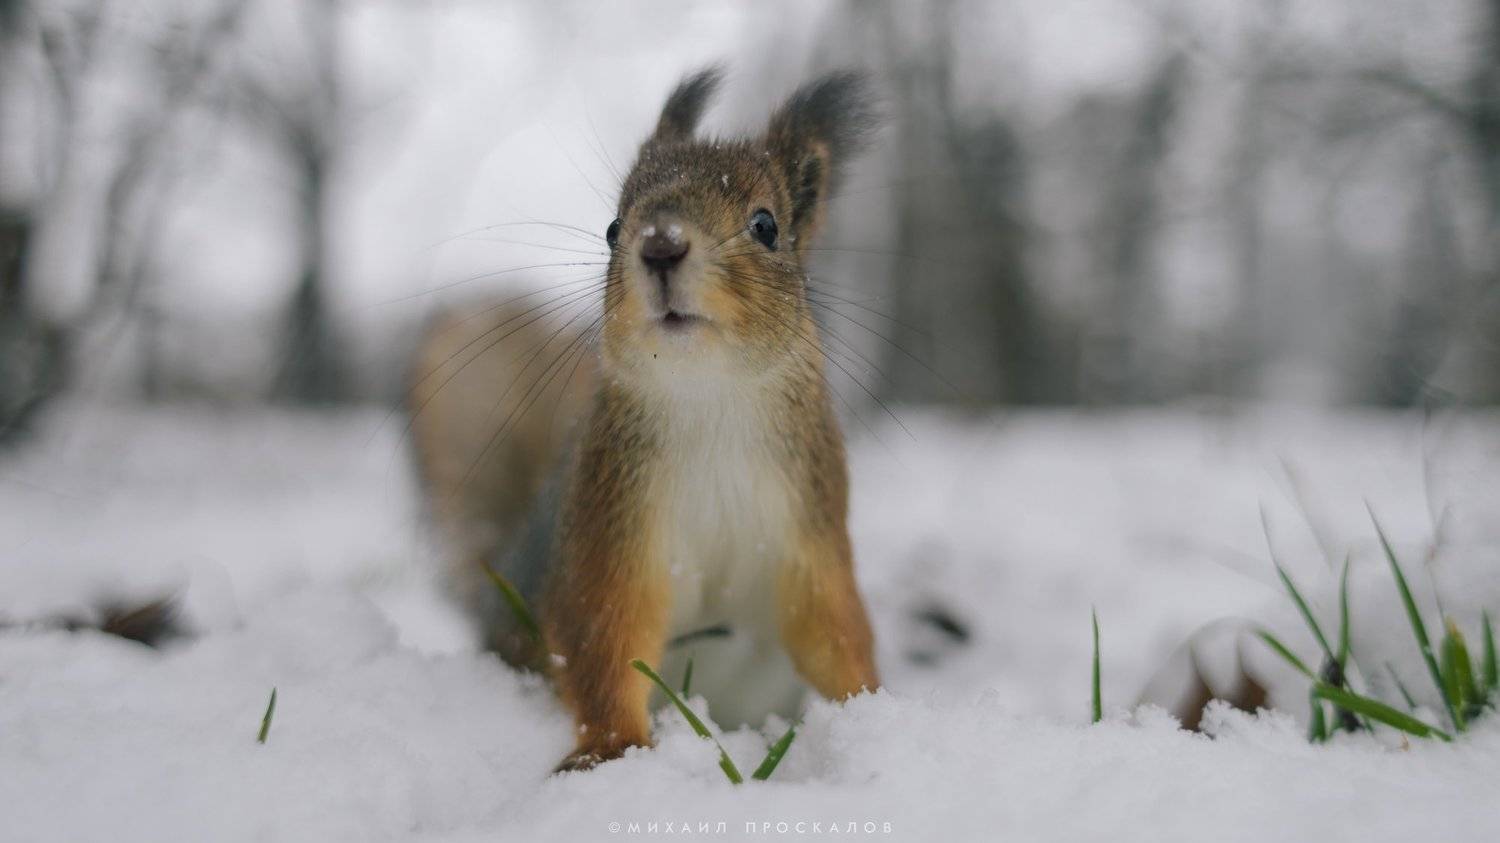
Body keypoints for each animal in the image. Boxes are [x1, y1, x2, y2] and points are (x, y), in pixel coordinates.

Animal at [408, 66, 881, 772]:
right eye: (611, 228)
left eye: (766, 225)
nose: (660, 245)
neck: (708, 395)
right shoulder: (608, 527)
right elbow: (605, 641)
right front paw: (612, 751)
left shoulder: (811, 528)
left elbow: (834, 631)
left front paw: (876, 713)